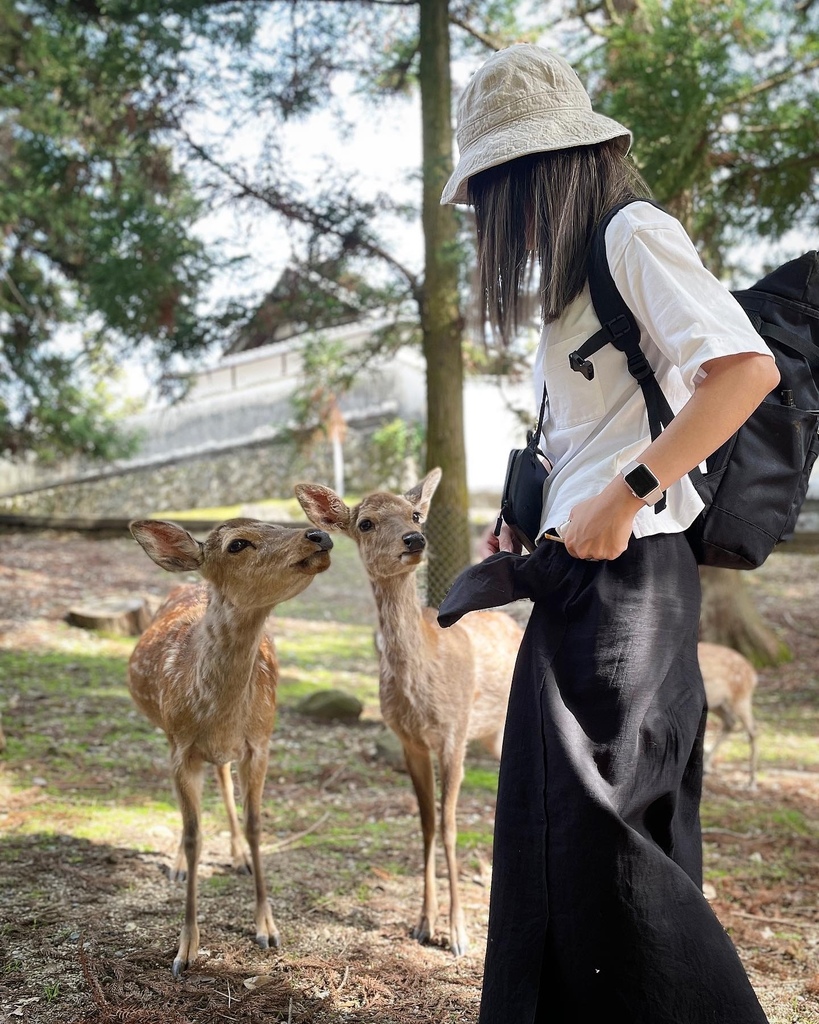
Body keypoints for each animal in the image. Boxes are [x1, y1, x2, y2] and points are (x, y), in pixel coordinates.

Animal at [126, 520, 331, 974]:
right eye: (237, 544)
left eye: (275, 522)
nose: (319, 535)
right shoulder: (181, 747)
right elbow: (193, 834)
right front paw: (185, 949)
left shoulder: (260, 743)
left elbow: (256, 825)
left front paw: (267, 928)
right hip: (167, 732)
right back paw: (179, 868)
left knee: (222, 776)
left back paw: (237, 857)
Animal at [296, 468, 522, 954]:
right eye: (365, 523)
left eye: (415, 513)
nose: (414, 539)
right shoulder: (409, 741)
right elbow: (427, 824)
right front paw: (424, 923)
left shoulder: (454, 732)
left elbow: (451, 825)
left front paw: (458, 935)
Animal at [696, 638, 761, 790]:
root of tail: (753, 675)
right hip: (718, 704)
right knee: (730, 723)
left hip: (740, 698)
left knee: (753, 730)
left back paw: (752, 781)